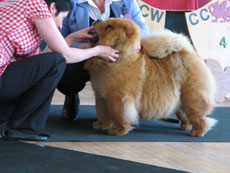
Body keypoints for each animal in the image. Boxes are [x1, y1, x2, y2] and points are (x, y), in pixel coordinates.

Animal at [85, 17, 217, 137]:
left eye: (109, 26)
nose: (96, 19)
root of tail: (189, 52)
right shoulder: (101, 96)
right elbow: (102, 113)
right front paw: (100, 125)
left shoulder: (119, 98)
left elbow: (120, 116)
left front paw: (118, 131)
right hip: (180, 101)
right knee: (185, 115)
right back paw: (186, 126)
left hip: (193, 98)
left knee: (199, 116)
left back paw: (197, 132)